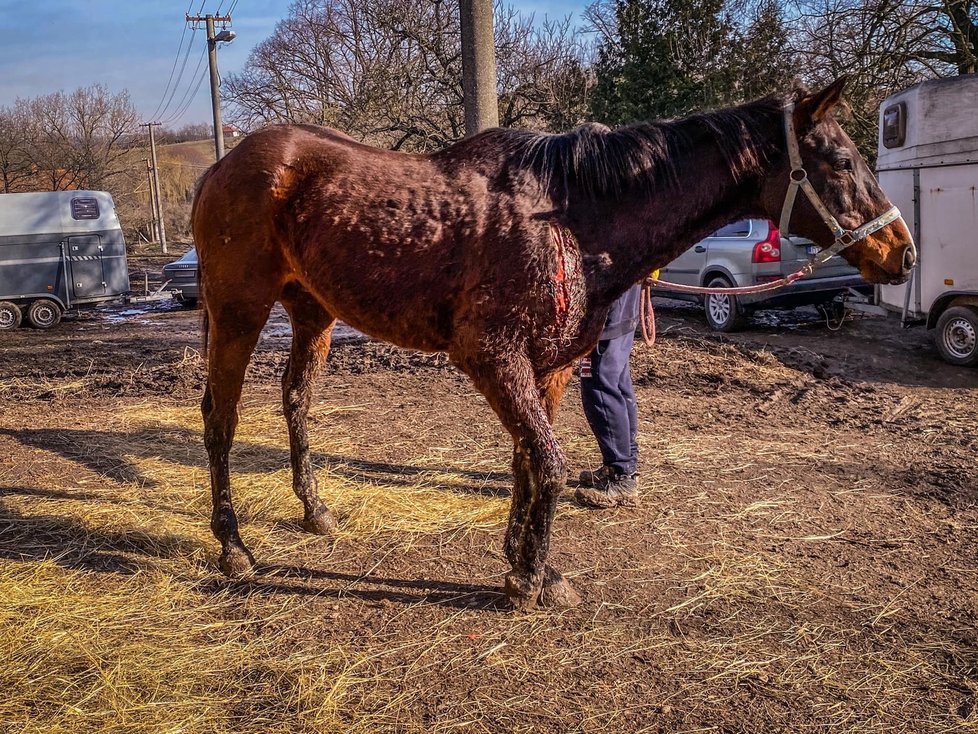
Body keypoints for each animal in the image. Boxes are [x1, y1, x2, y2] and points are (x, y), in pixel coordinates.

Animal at [193, 77, 916, 612]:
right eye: (842, 161)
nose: (902, 253)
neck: (567, 214)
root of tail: (221, 166)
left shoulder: (552, 369)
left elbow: (527, 463)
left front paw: (522, 565)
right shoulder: (492, 358)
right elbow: (552, 464)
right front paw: (533, 578)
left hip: (312, 314)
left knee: (295, 402)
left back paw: (315, 512)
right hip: (238, 313)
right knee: (220, 420)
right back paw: (234, 550)